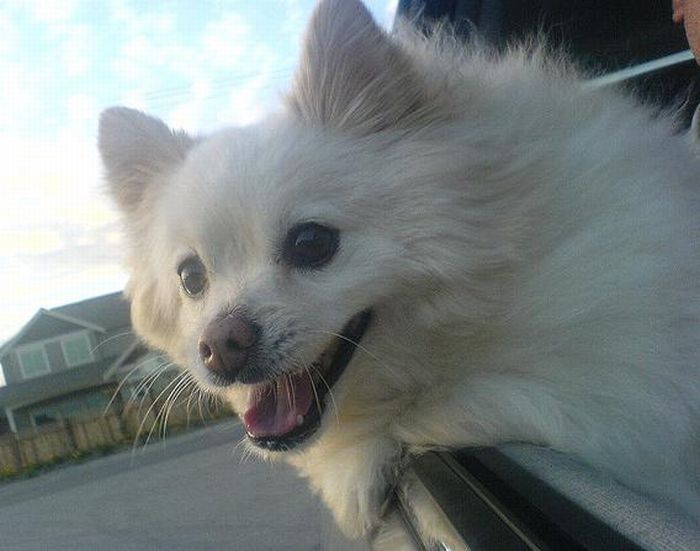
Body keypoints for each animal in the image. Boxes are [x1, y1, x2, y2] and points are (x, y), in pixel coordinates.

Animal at [98, 0, 700, 544]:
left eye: (311, 243)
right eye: (191, 278)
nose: (221, 344)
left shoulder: (609, 378)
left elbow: (461, 405)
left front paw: (359, 464)